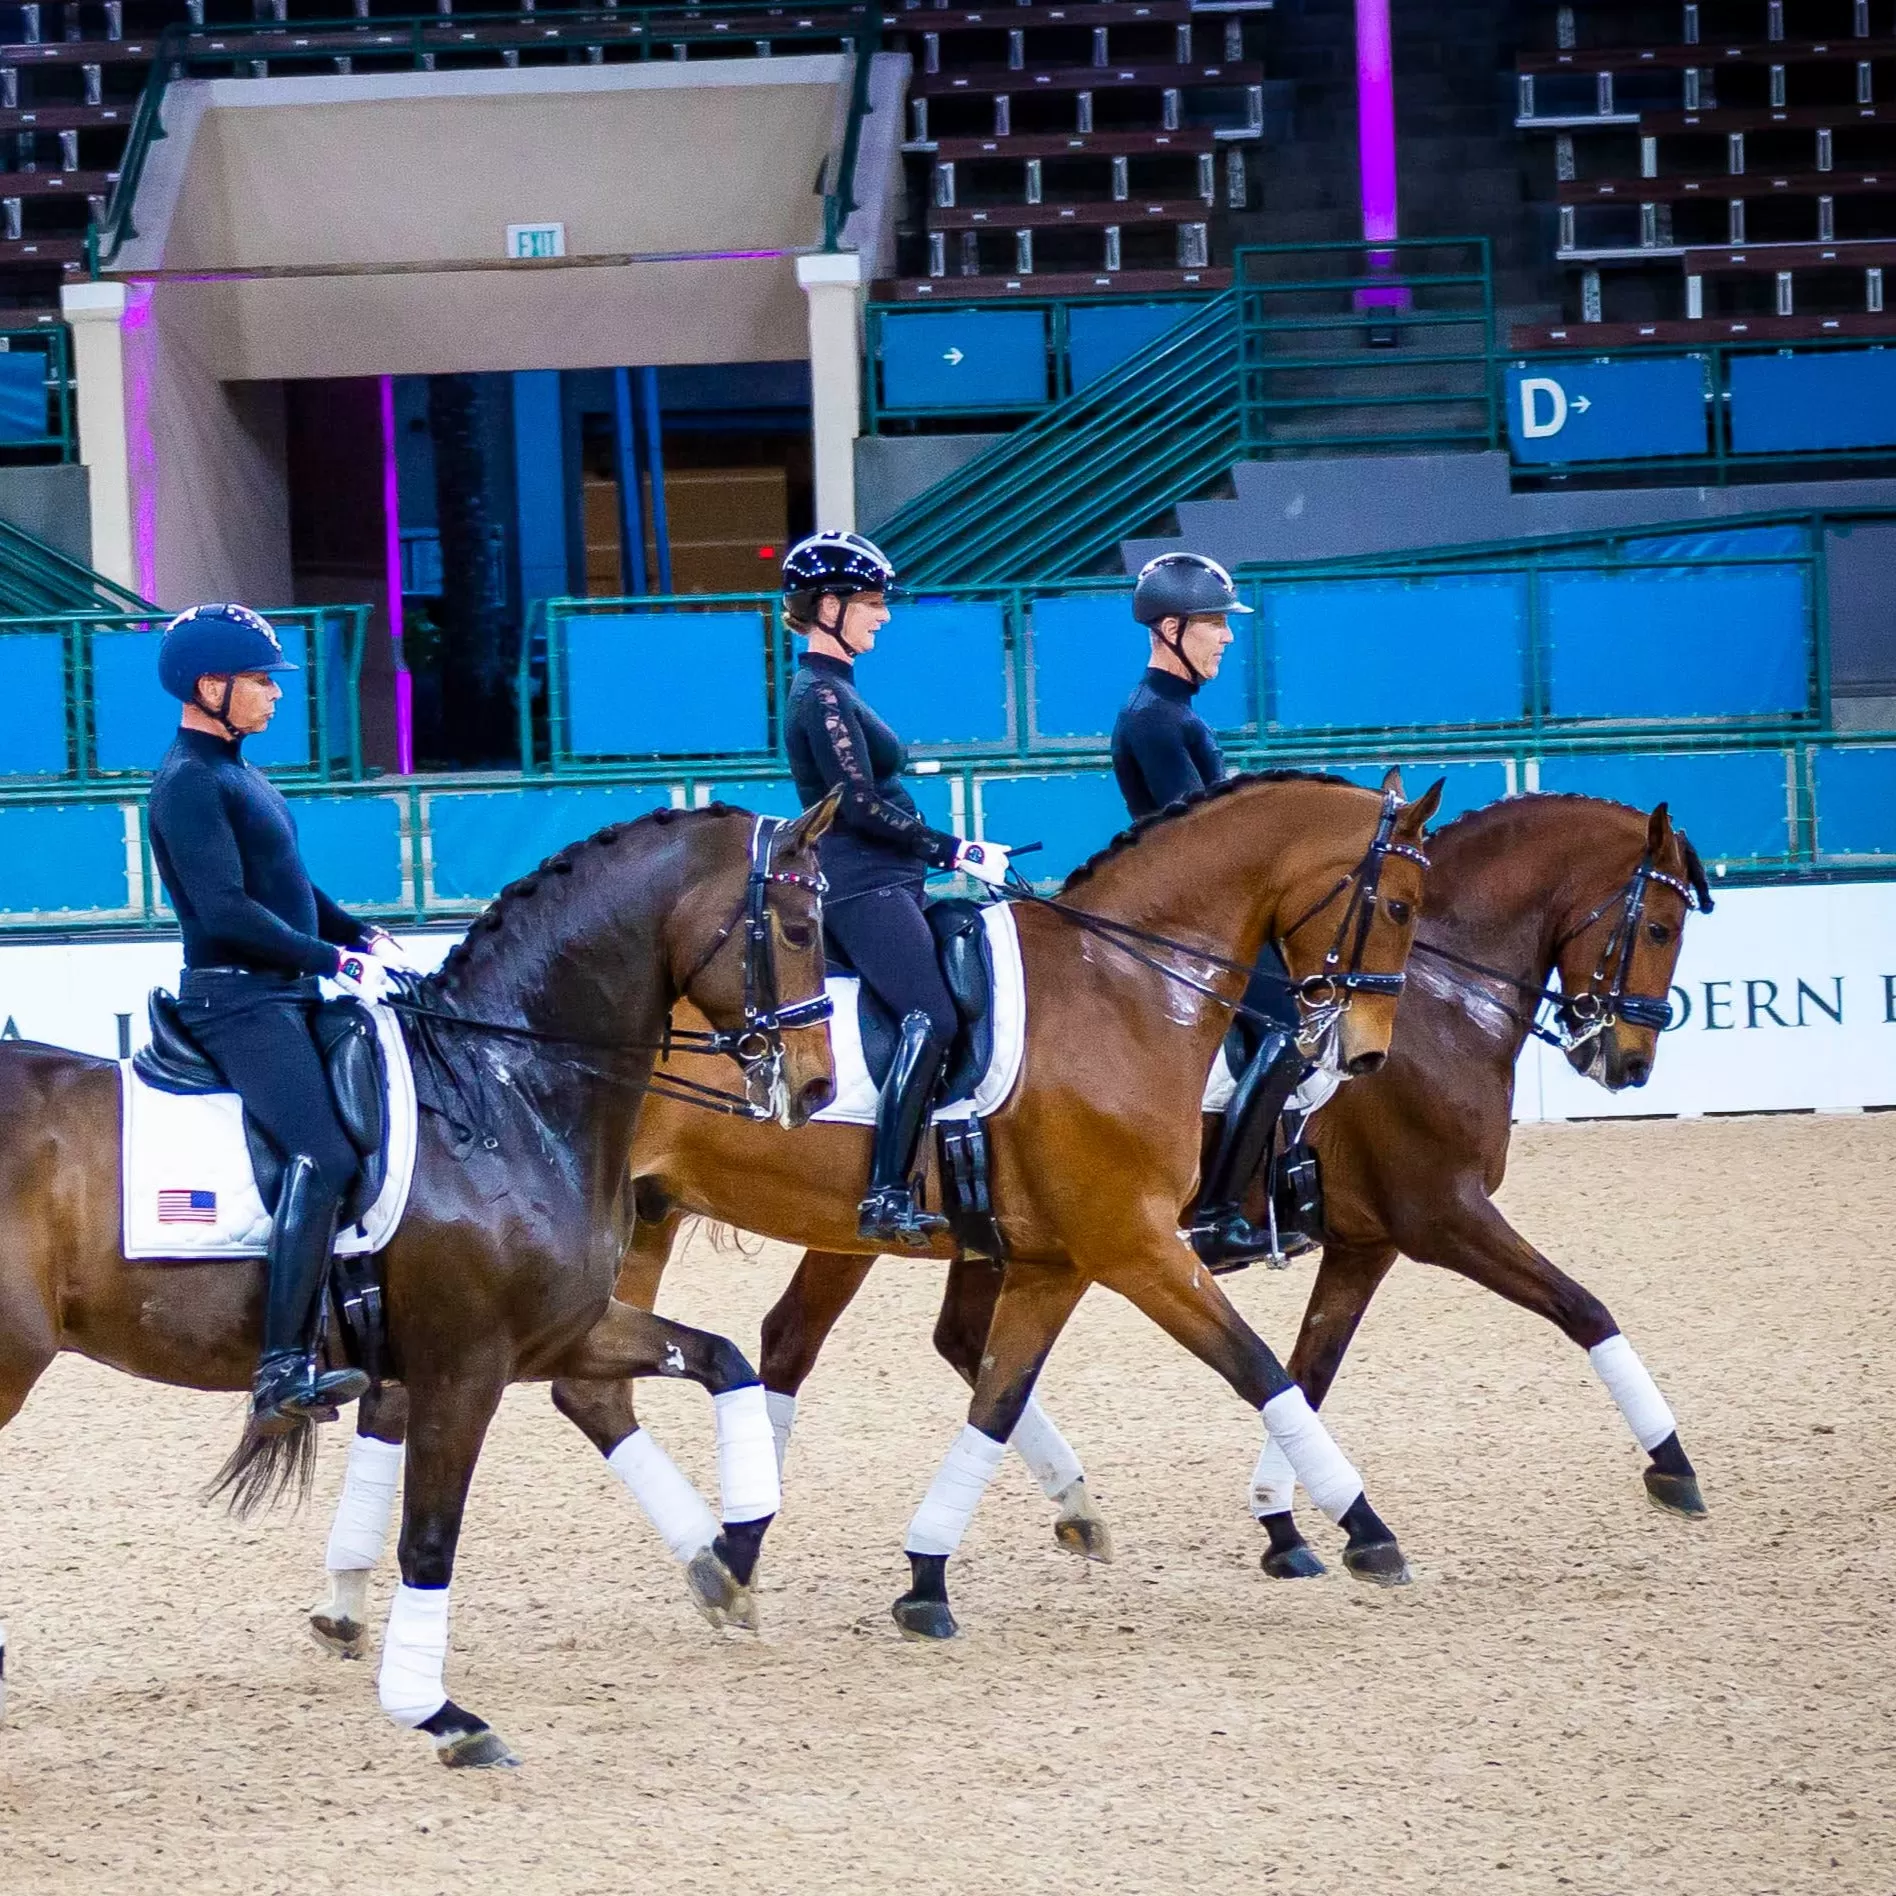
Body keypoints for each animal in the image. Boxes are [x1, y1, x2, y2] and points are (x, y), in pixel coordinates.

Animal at [0, 796, 838, 1759]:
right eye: (800, 926)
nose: (818, 1088)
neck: (506, 1091)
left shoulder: (560, 1330)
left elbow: (720, 1360)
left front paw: (730, 1554)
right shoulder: (464, 1366)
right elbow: (429, 1541)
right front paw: (435, 1712)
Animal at [307, 769, 1433, 1645]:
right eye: (1400, 907)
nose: (1366, 1052)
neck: (1120, 988)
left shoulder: (1056, 1261)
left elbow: (997, 1398)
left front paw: (928, 1574)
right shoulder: (1132, 1244)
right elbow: (1260, 1367)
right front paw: (1366, 1529)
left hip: (641, 1222)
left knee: (568, 1392)